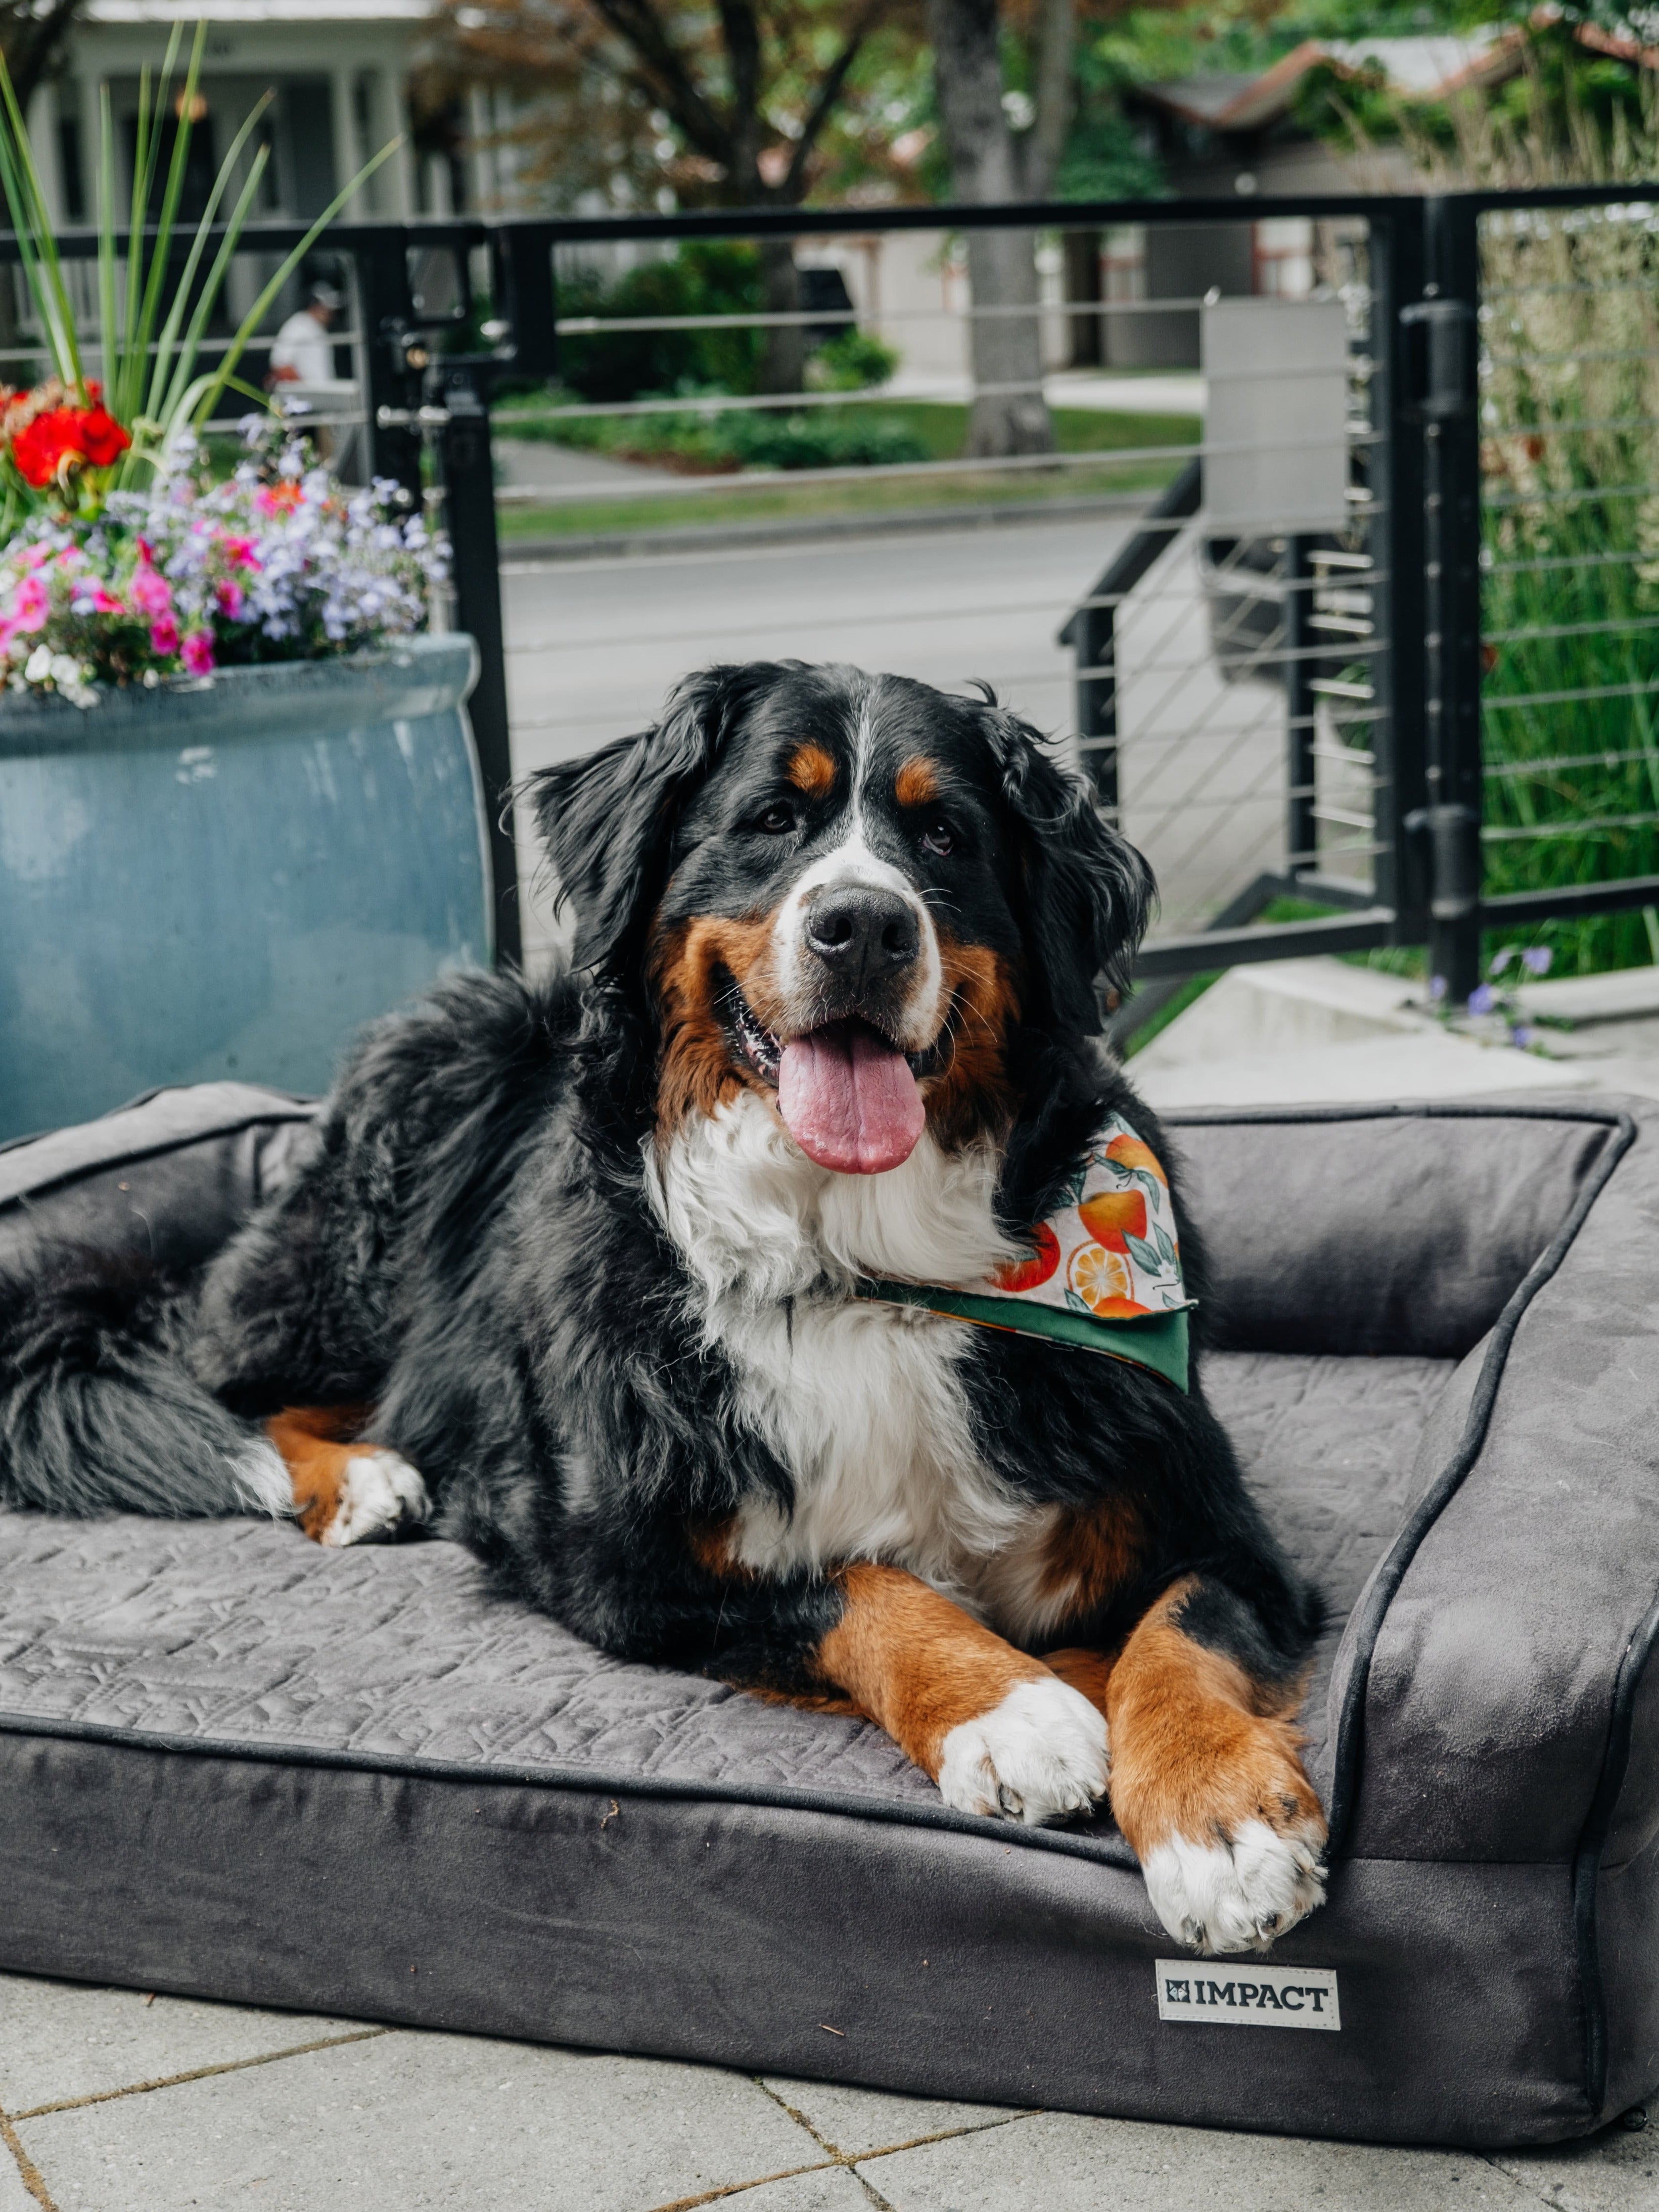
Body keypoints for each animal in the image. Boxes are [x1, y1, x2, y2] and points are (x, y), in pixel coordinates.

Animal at [0, 650, 1327, 1955]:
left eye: (946, 834)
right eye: (771, 819)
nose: (863, 924)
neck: (858, 1266)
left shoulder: (1212, 1517)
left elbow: (1183, 1632)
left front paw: (1216, 1822)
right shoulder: (613, 1559)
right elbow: (859, 1586)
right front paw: (1014, 1710)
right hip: (370, 1216)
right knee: (240, 1384)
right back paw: (361, 1477)